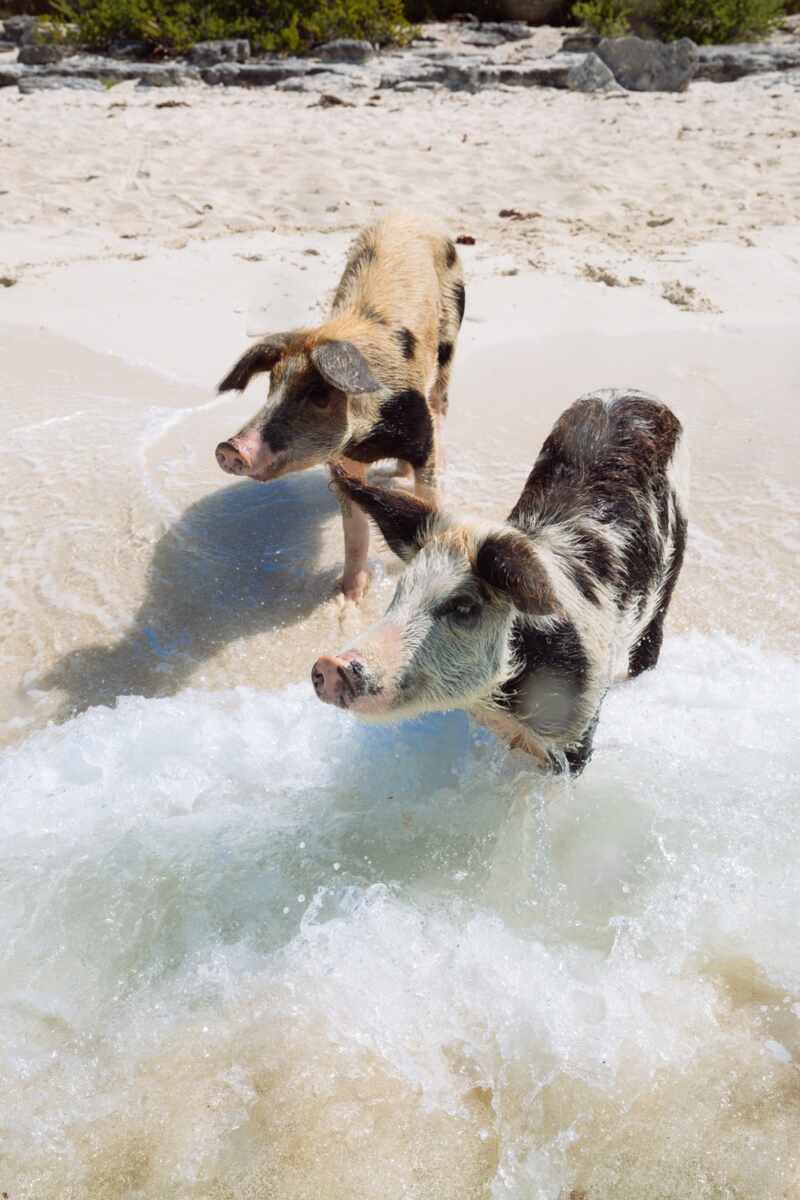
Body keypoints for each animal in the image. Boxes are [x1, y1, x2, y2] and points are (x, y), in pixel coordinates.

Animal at [214, 213, 462, 600]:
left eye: (319, 394)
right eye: (272, 384)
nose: (229, 447)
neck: (369, 438)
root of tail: (411, 212)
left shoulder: (420, 441)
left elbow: (429, 502)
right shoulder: (343, 462)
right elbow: (355, 533)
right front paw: (348, 596)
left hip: (451, 328)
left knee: (441, 402)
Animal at [311, 388, 690, 772]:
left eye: (464, 607)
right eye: (402, 590)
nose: (330, 664)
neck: (498, 700)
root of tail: (636, 395)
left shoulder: (580, 725)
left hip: (672, 562)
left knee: (652, 636)